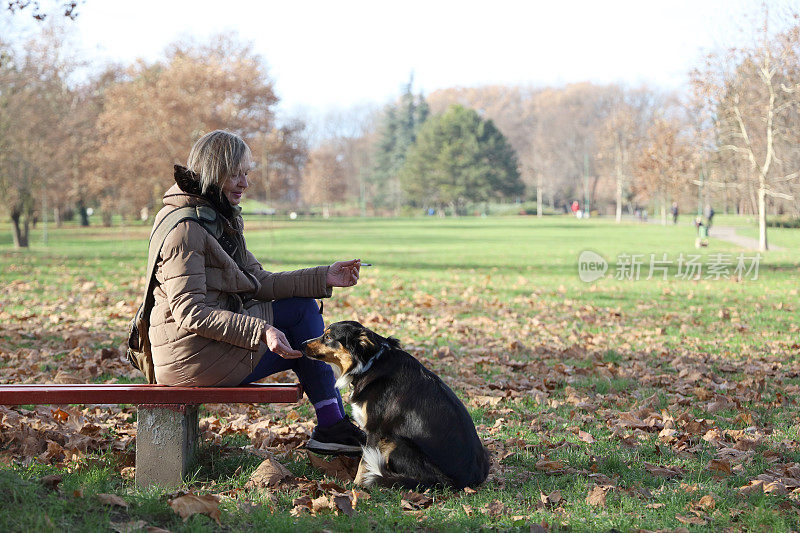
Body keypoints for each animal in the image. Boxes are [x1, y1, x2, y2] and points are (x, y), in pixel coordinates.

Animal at [300, 318, 488, 488]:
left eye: (328, 337)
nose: (301, 344)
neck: (370, 364)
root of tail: (458, 482)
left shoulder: (374, 431)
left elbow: (364, 462)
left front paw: (357, 486)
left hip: (397, 442)